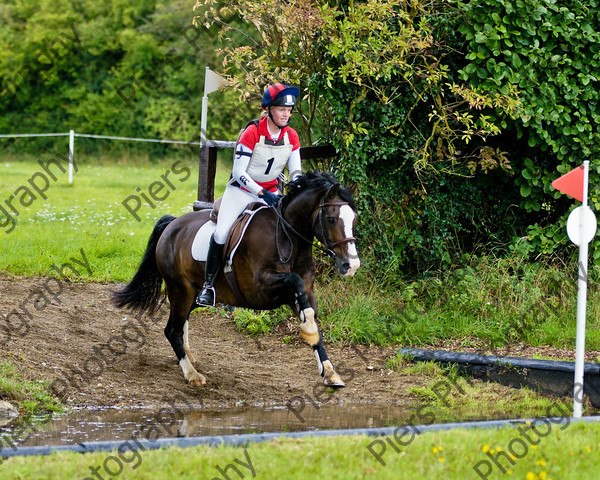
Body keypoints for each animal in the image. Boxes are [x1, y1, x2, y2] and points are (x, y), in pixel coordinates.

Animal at [110, 171, 358, 388]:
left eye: (353, 219)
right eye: (331, 219)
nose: (351, 266)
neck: (288, 237)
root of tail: (172, 224)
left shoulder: (303, 293)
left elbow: (311, 314)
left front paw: (330, 371)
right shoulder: (261, 289)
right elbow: (294, 281)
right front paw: (308, 332)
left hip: (194, 295)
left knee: (181, 324)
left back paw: (190, 358)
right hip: (180, 290)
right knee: (172, 330)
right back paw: (192, 374)